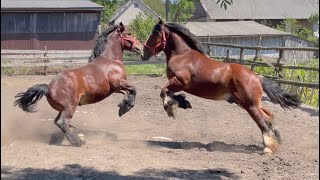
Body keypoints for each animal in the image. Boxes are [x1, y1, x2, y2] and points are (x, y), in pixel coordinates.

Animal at [14, 22, 142, 146]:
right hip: (70, 107)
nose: (140, 47)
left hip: (63, 108)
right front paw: (126, 107)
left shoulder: (115, 89)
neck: (110, 60)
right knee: (62, 122)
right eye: (129, 33)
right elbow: (134, 89)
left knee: (58, 122)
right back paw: (78, 141)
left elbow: (127, 92)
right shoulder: (119, 83)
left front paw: (123, 106)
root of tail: (48, 88)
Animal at [141, 20, 302, 155]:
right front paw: (182, 102)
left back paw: (268, 148)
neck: (182, 55)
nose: (143, 54)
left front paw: (171, 109)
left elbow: (163, 92)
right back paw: (274, 139)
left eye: (155, 33)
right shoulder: (178, 85)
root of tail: (257, 77)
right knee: (269, 116)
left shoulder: (180, 81)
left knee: (262, 121)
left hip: (250, 105)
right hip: (247, 103)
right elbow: (169, 93)